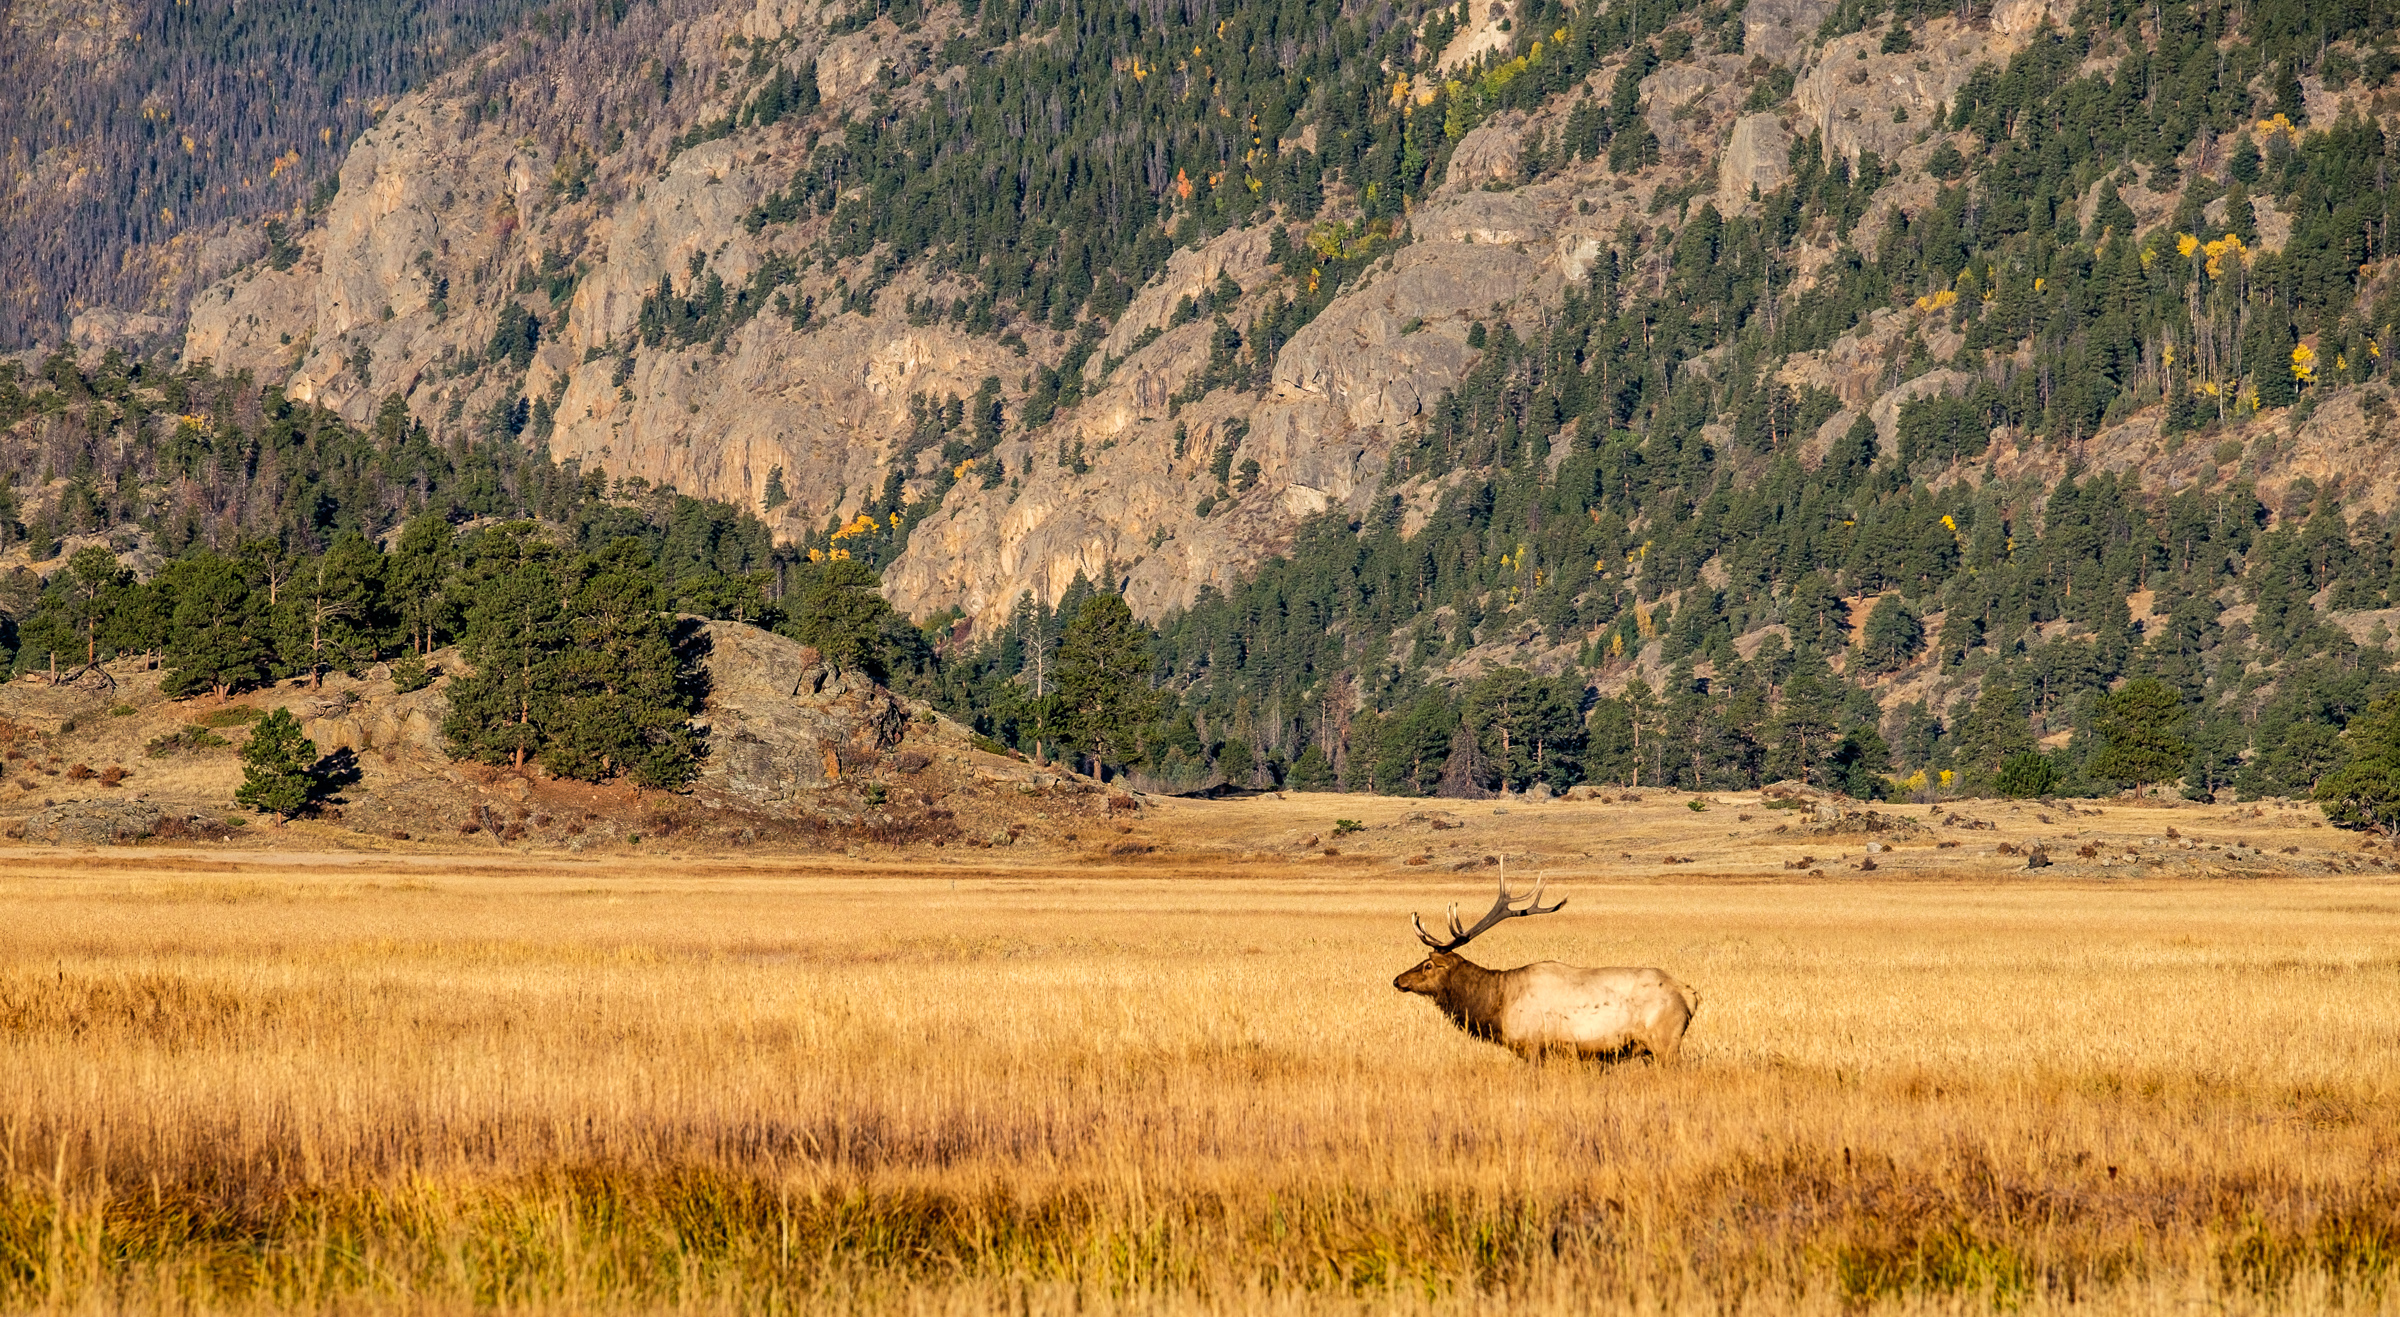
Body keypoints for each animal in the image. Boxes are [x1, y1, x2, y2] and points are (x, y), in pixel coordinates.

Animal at [1392, 873, 1708, 1055]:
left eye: (1428, 965)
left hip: (1664, 1042)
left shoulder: (1531, 1044)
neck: (1496, 1004)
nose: (1397, 979)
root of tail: (1689, 995)